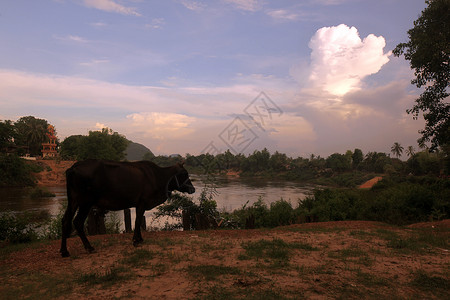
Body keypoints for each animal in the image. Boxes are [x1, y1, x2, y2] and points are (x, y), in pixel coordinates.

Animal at [59, 159, 194, 258]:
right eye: (184, 174)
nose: (193, 189)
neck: (159, 178)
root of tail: (73, 167)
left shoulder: (140, 204)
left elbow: (138, 221)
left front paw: (139, 239)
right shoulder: (142, 202)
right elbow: (137, 220)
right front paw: (136, 241)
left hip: (73, 201)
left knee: (65, 220)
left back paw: (64, 251)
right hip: (86, 202)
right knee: (77, 222)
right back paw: (89, 247)